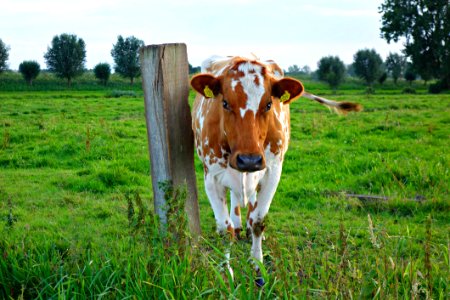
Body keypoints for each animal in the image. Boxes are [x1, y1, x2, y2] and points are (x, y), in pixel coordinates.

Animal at [190, 55, 362, 284]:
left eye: (269, 104)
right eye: (224, 103)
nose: (249, 160)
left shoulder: (272, 171)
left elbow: (258, 221)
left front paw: (257, 267)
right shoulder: (212, 177)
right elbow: (224, 230)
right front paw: (225, 272)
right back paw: (238, 225)